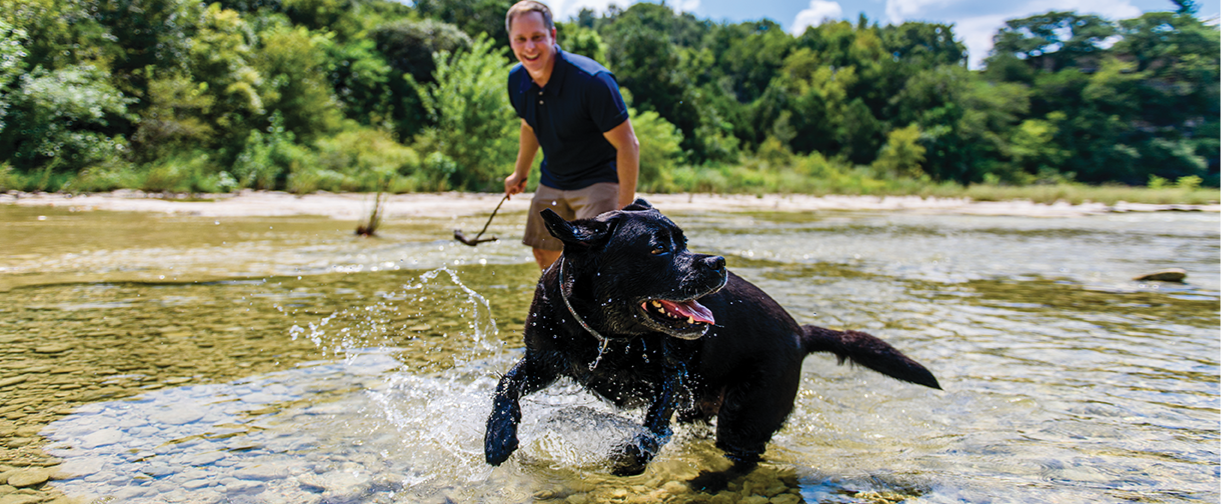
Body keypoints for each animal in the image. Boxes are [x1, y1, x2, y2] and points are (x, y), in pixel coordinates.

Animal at [481, 198, 937, 478]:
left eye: (684, 241)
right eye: (657, 248)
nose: (718, 261)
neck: (601, 335)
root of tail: (800, 333)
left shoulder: (669, 379)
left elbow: (652, 430)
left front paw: (629, 460)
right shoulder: (544, 362)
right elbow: (506, 384)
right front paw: (498, 436)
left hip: (745, 417)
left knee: (744, 460)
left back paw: (709, 482)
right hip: (708, 408)